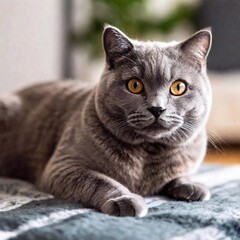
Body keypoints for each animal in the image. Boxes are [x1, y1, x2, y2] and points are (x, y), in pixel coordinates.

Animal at [0, 25, 212, 217]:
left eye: (178, 87)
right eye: (135, 85)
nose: (157, 108)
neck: (146, 154)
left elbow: (179, 174)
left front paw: (193, 187)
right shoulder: (63, 166)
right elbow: (101, 181)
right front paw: (126, 200)